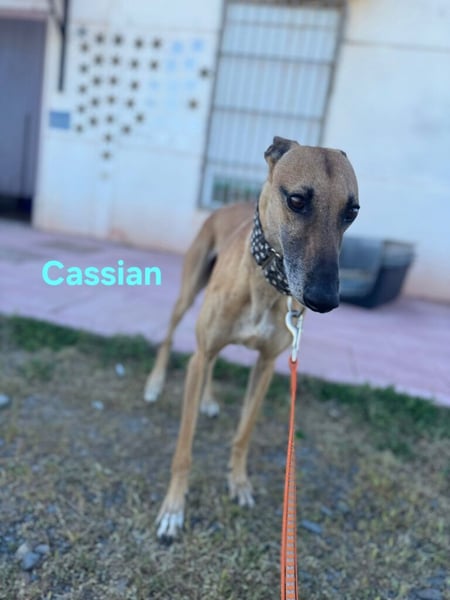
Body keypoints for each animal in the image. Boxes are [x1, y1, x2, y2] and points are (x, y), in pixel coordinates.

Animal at [144, 137, 359, 538]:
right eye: (296, 200)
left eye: (351, 211)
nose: (323, 300)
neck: (267, 285)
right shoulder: (201, 352)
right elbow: (184, 449)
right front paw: (173, 508)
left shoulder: (267, 365)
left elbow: (243, 433)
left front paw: (239, 482)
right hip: (189, 292)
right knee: (170, 337)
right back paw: (154, 384)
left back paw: (209, 400)